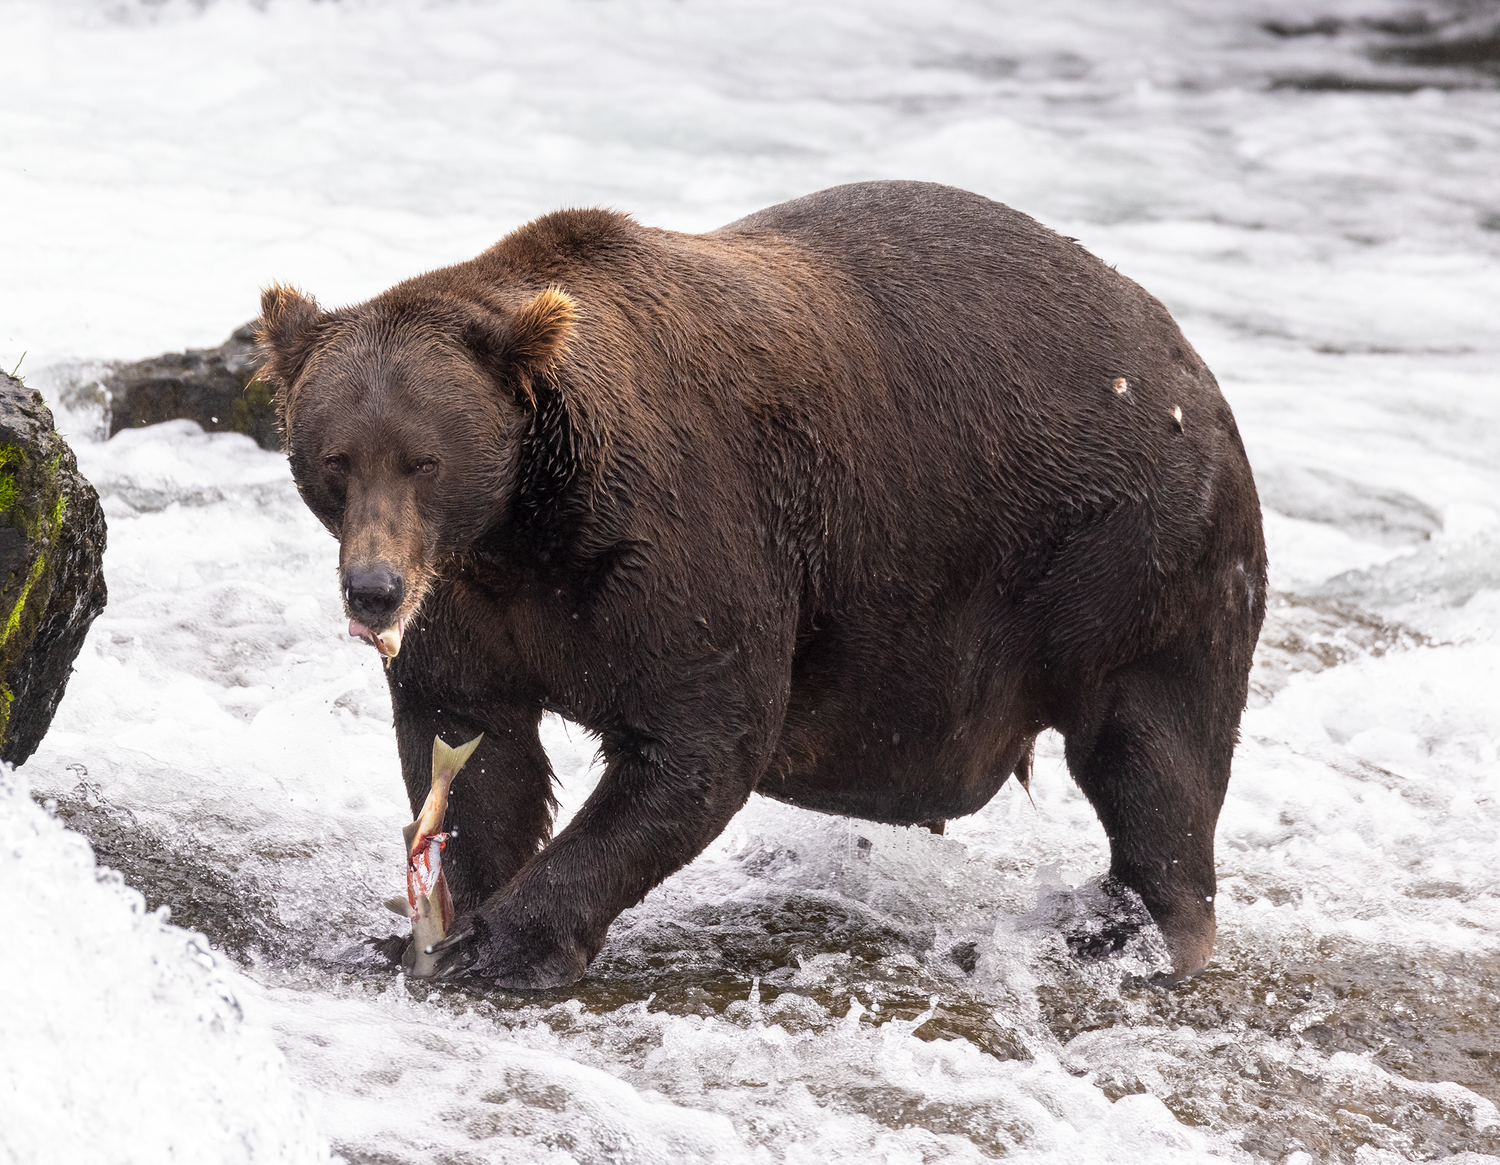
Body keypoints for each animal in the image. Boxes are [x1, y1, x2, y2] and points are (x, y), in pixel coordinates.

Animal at [257, 181, 1267, 989]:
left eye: (423, 459)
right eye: (334, 459)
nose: (373, 589)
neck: (527, 532)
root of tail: (1189, 358)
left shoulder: (680, 549)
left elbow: (696, 741)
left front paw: (501, 943)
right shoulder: (473, 602)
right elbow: (472, 746)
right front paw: (433, 925)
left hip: (1124, 551)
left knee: (1152, 748)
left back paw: (1123, 933)